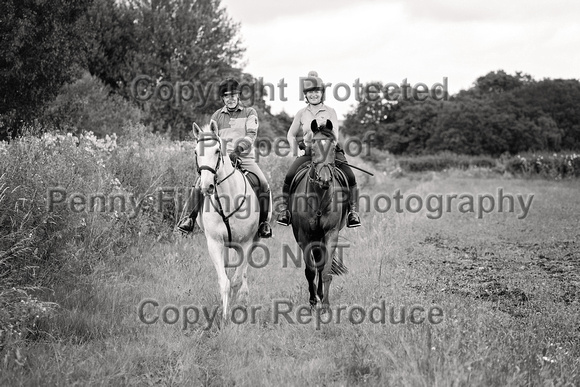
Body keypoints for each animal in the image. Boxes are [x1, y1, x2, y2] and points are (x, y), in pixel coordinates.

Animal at [290, 119, 348, 310]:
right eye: (313, 148)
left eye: (334, 148)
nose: (324, 180)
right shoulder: (304, 235)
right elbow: (310, 271)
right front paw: (313, 302)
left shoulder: (331, 233)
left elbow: (326, 270)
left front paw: (326, 305)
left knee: (321, 264)